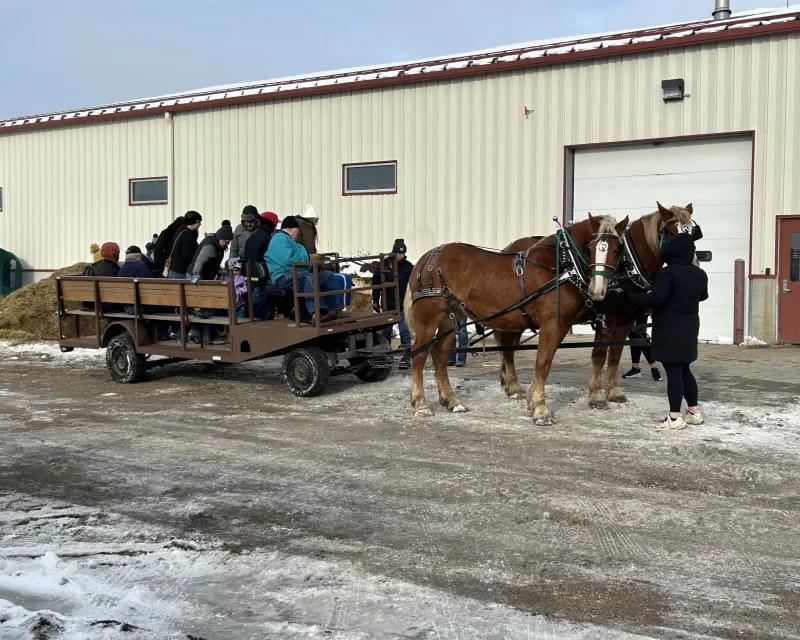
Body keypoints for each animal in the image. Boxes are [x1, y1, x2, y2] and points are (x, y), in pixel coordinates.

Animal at [410, 215, 628, 422]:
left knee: (439, 355)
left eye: (618, 250)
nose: (597, 291)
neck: (562, 265)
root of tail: (427, 258)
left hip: (451, 318)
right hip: (429, 318)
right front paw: (540, 409)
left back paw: (452, 402)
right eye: (590, 248)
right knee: (419, 355)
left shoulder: (562, 326)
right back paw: (421, 405)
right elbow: (543, 363)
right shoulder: (552, 324)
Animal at [500, 202, 692, 408]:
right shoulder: (606, 320)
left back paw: (506, 381)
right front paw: (596, 395)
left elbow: (615, 355)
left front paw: (614, 392)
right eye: (671, 232)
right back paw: (512, 385)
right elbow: (599, 356)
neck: (627, 267)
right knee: (508, 346)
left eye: (692, 232)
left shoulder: (626, 321)